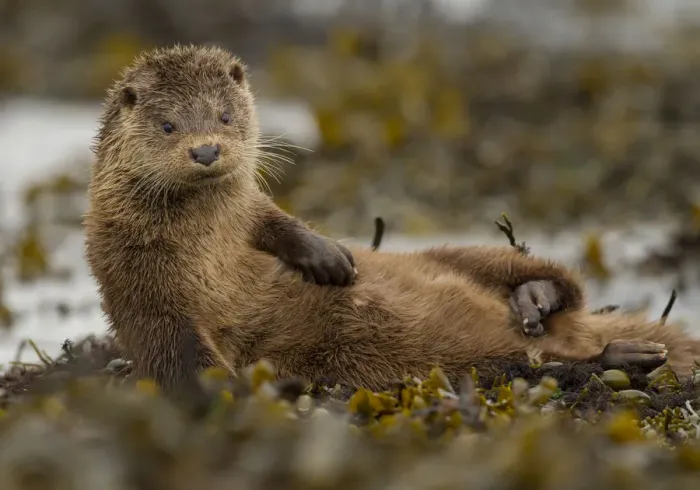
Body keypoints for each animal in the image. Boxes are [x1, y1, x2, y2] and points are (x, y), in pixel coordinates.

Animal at [85, 44, 700, 397]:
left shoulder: (245, 215)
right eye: (167, 125)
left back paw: (535, 300)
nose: (207, 149)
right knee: (533, 365)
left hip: (465, 253)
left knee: (559, 283)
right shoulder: (142, 291)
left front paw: (330, 259)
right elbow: (184, 363)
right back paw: (620, 357)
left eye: (225, 115)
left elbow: (275, 219)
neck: (206, 249)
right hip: (453, 360)